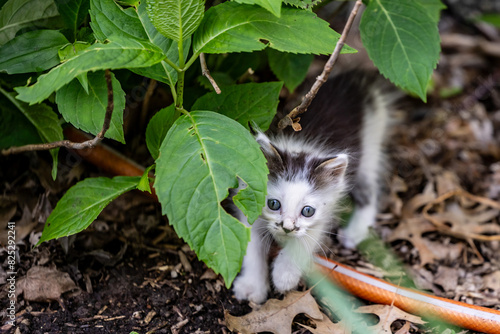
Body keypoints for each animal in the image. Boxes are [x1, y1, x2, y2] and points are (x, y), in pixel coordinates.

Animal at [230, 71, 398, 306]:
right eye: (273, 204)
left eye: (307, 211)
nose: (287, 228)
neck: (300, 147)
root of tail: (355, 77)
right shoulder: (249, 206)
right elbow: (251, 248)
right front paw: (252, 286)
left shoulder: (327, 208)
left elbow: (306, 239)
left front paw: (284, 274)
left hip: (371, 146)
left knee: (369, 191)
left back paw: (354, 232)